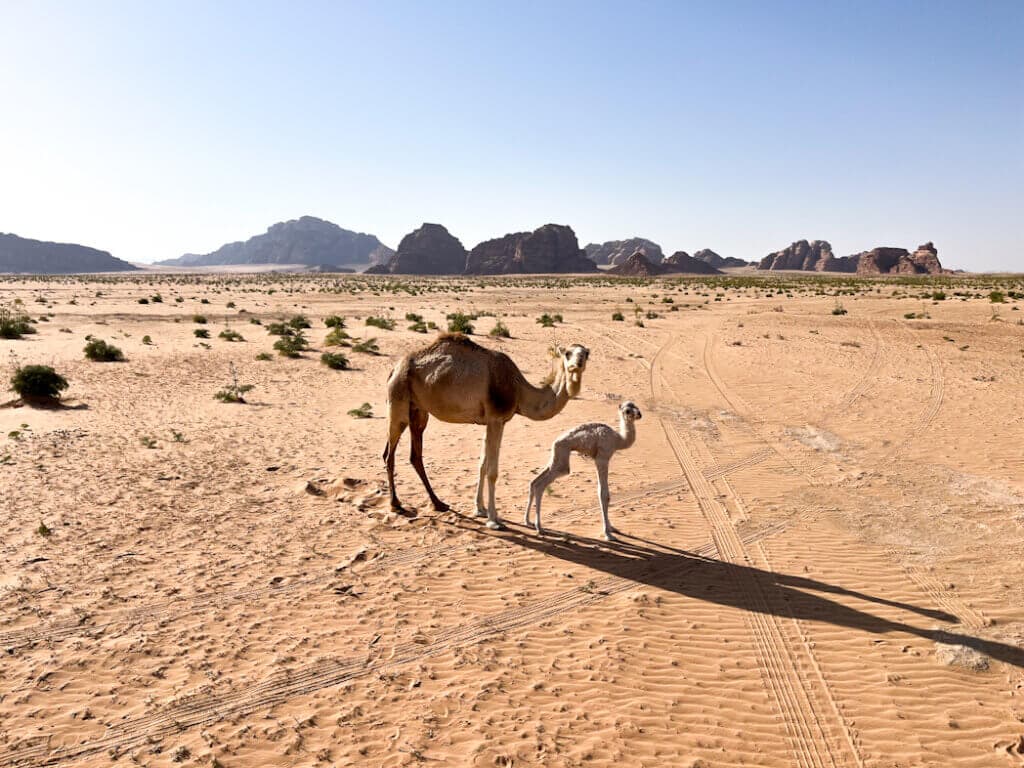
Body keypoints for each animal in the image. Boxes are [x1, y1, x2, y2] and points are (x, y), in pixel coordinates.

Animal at [385, 333, 593, 532]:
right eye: (568, 353)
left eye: (586, 354)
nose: (577, 364)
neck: (518, 389)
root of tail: (394, 369)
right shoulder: (496, 419)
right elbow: (492, 471)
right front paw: (494, 520)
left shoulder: (490, 422)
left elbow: (482, 464)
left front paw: (480, 509)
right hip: (398, 400)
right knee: (389, 453)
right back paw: (396, 504)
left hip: (418, 410)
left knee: (415, 454)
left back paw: (438, 504)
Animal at [528, 403, 638, 540]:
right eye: (627, 411)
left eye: (637, 407)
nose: (639, 415)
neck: (618, 440)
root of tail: (555, 442)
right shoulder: (602, 458)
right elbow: (603, 494)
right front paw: (608, 534)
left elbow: (605, 494)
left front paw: (612, 528)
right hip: (563, 458)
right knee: (541, 485)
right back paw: (539, 528)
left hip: (556, 456)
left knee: (534, 482)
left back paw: (528, 521)